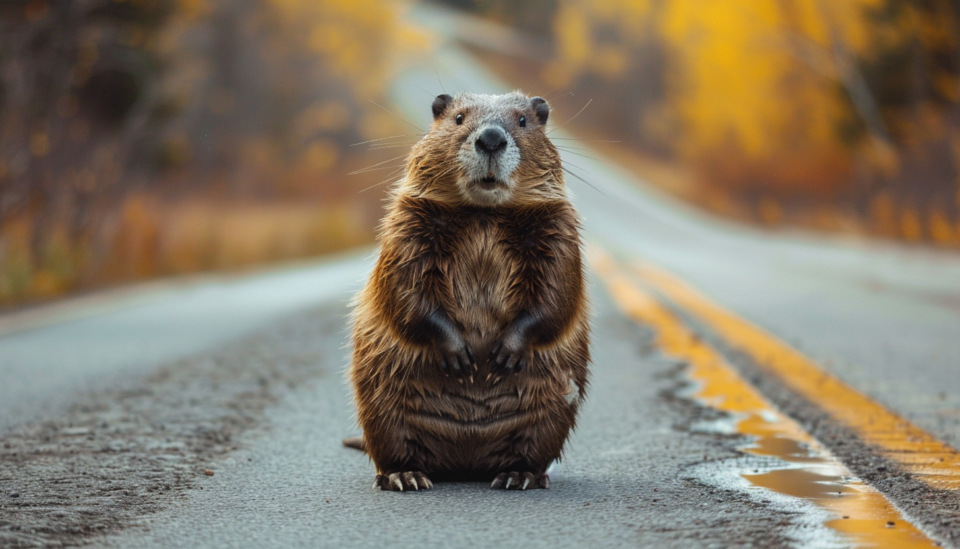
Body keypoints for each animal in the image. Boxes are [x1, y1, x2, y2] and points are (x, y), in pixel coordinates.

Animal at [348, 92, 588, 490]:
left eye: (523, 120)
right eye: (458, 118)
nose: (491, 138)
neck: (483, 215)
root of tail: (465, 463)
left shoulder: (559, 228)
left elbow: (556, 293)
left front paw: (502, 357)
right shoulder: (407, 223)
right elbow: (405, 288)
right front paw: (460, 357)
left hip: (552, 412)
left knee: (535, 450)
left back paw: (516, 476)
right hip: (379, 407)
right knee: (392, 447)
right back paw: (406, 477)